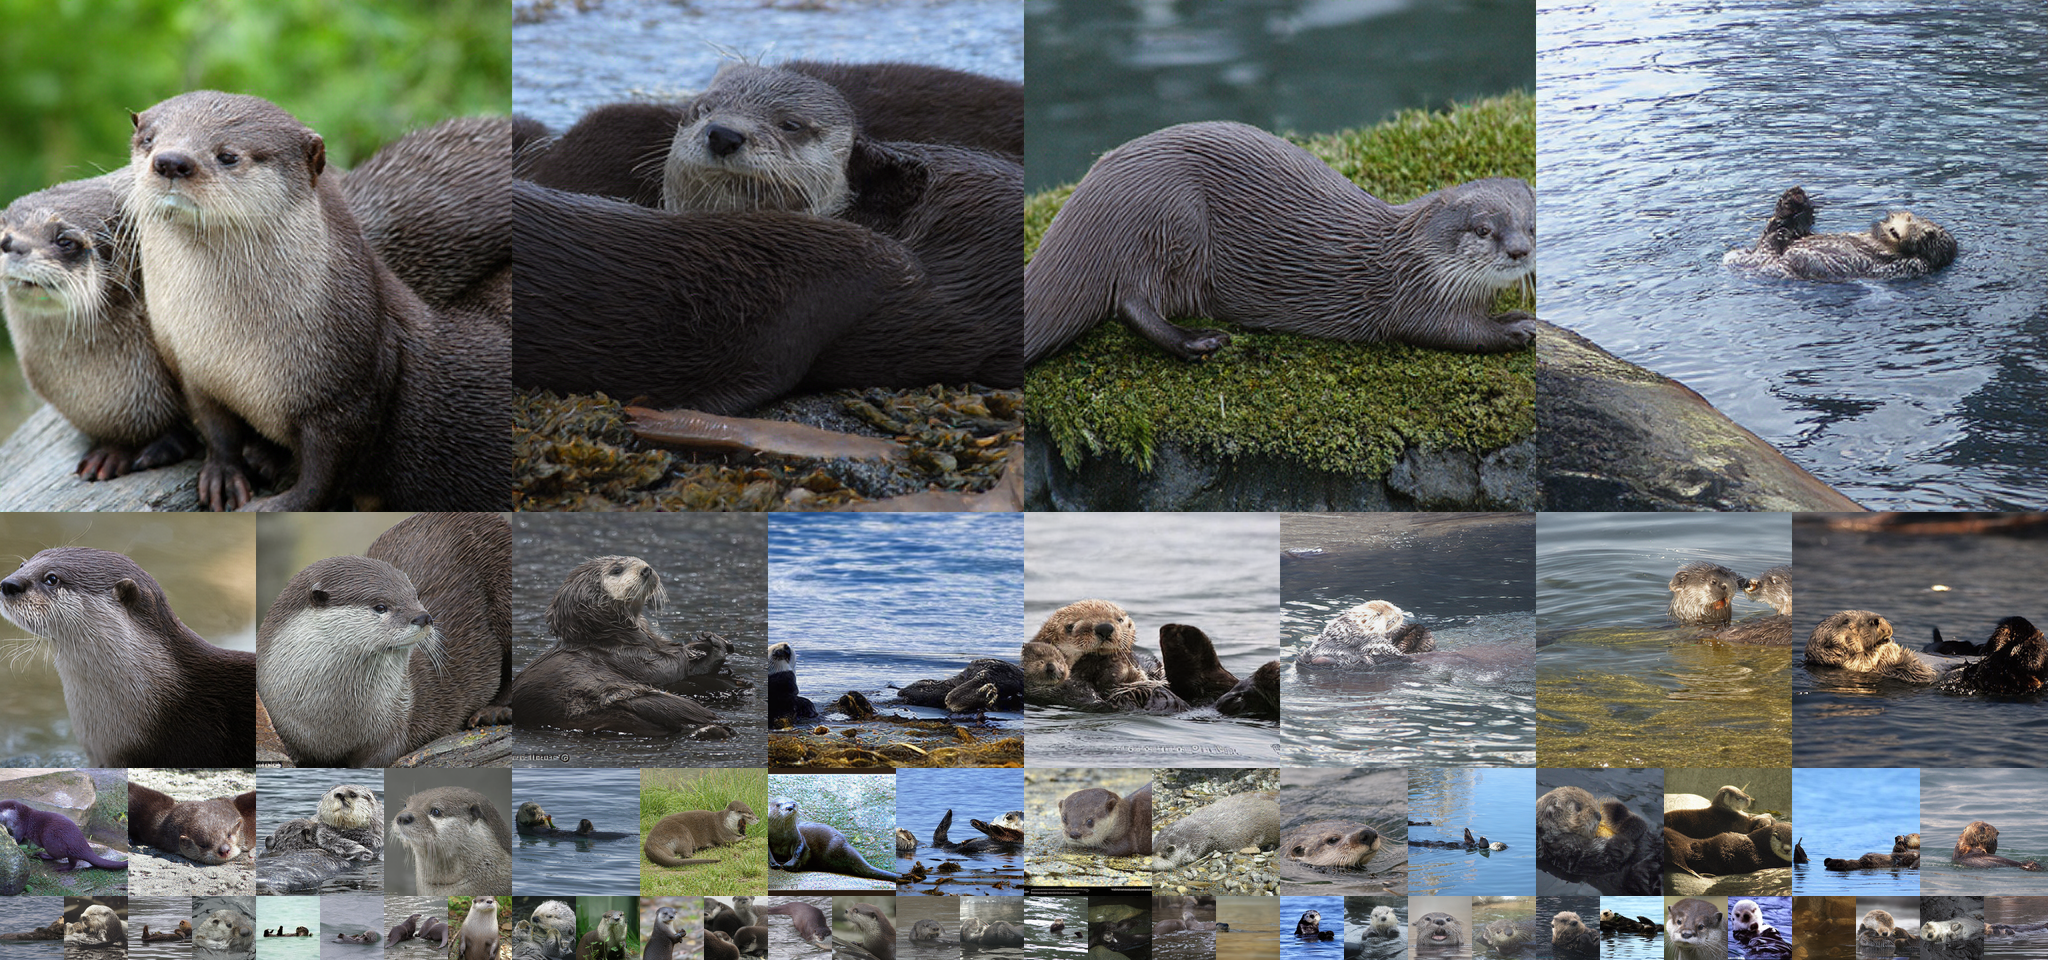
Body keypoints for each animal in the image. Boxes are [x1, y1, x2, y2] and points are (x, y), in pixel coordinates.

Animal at [125, 90, 508, 511]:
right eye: (148, 139)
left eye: (227, 155)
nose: (170, 161)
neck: (235, 350)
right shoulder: (191, 369)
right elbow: (216, 428)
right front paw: (223, 475)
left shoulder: (347, 394)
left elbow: (325, 473)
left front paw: (275, 505)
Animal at [764, 797, 900, 882]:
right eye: (778, 805)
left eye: (794, 803)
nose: (790, 807)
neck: (781, 837)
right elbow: (769, 853)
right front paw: (774, 863)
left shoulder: (798, 838)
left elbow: (800, 851)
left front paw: (790, 864)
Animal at [1026, 121, 1534, 363]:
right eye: (1484, 229)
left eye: (1530, 225)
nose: (1520, 251)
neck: (1411, 258)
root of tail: (1098, 189)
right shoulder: (1412, 297)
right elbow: (1451, 330)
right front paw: (1514, 328)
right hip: (1171, 214)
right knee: (1130, 301)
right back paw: (1198, 341)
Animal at [1724, 186, 1955, 281]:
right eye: (1909, 218)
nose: (1896, 223)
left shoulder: (1911, 265)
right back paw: (1797, 201)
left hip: (1772, 254)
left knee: (1776, 233)